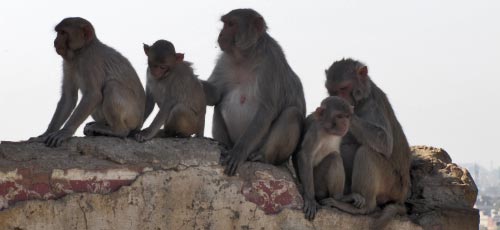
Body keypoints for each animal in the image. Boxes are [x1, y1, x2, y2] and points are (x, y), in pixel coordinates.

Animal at [30, 17, 145, 147]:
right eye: (58, 32)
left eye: (63, 33)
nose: (55, 41)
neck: (80, 52)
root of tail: (140, 124)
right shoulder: (68, 64)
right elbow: (69, 97)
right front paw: (45, 134)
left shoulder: (89, 62)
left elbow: (93, 95)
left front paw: (65, 132)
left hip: (133, 117)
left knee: (112, 86)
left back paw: (116, 130)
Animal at [202, 8, 304, 175]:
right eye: (224, 23)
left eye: (231, 24)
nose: (221, 34)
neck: (245, 57)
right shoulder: (224, 60)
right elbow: (215, 95)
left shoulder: (270, 63)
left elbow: (267, 109)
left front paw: (238, 153)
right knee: (218, 106)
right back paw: (224, 145)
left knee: (292, 113)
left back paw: (263, 157)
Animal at [318, 58, 412, 229]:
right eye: (332, 90)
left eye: (343, 88)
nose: (339, 97)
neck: (362, 99)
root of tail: (402, 196)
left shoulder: (372, 105)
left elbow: (384, 142)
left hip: (391, 184)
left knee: (366, 152)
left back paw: (362, 207)